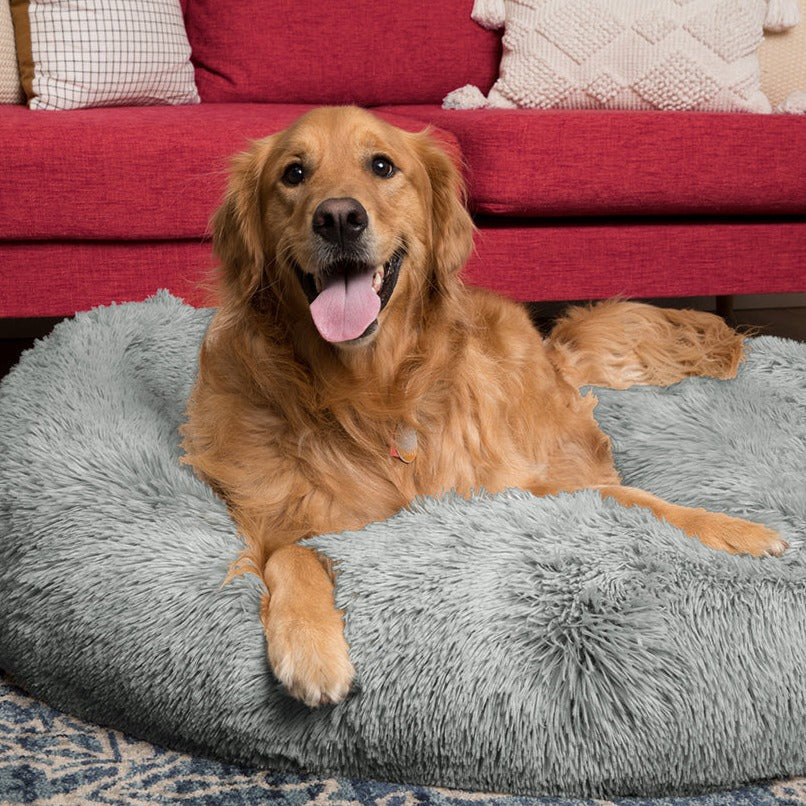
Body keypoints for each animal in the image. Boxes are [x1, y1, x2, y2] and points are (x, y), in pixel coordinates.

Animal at [180, 105, 784, 708]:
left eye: (382, 165)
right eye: (294, 174)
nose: (338, 218)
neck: (373, 396)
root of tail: (552, 346)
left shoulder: (517, 484)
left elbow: (638, 498)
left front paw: (734, 530)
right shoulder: (276, 522)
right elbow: (290, 553)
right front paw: (310, 644)